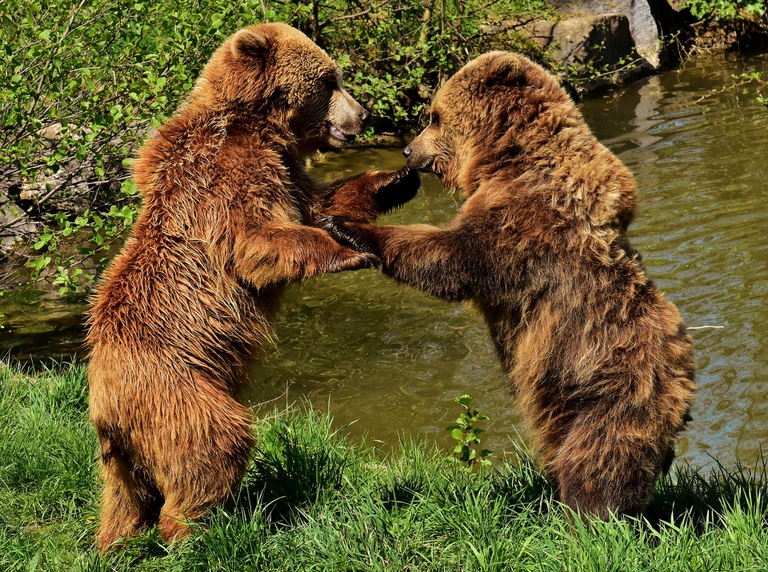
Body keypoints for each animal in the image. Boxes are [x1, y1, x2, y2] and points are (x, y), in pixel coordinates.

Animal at [86, 22, 419, 551]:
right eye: (329, 80)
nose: (365, 113)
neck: (261, 124)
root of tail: (104, 409)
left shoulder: (285, 171)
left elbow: (319, 201)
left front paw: (396, 179)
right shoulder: (229, 174)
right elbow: (257, 241)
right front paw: (350, 249)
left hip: (124, 451)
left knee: (124, 499)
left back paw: (116, 542)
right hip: (177, 391)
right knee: (214, 445)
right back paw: (197, 531)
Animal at [322, 51, 696, 519]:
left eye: (435, 117)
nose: (409, 150)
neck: (506, 157)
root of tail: (683, 386)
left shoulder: (522, 221)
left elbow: (451, 258)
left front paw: (346, 226)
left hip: (609, 388)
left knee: (598, 458)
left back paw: (590, 517)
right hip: (565, 400)